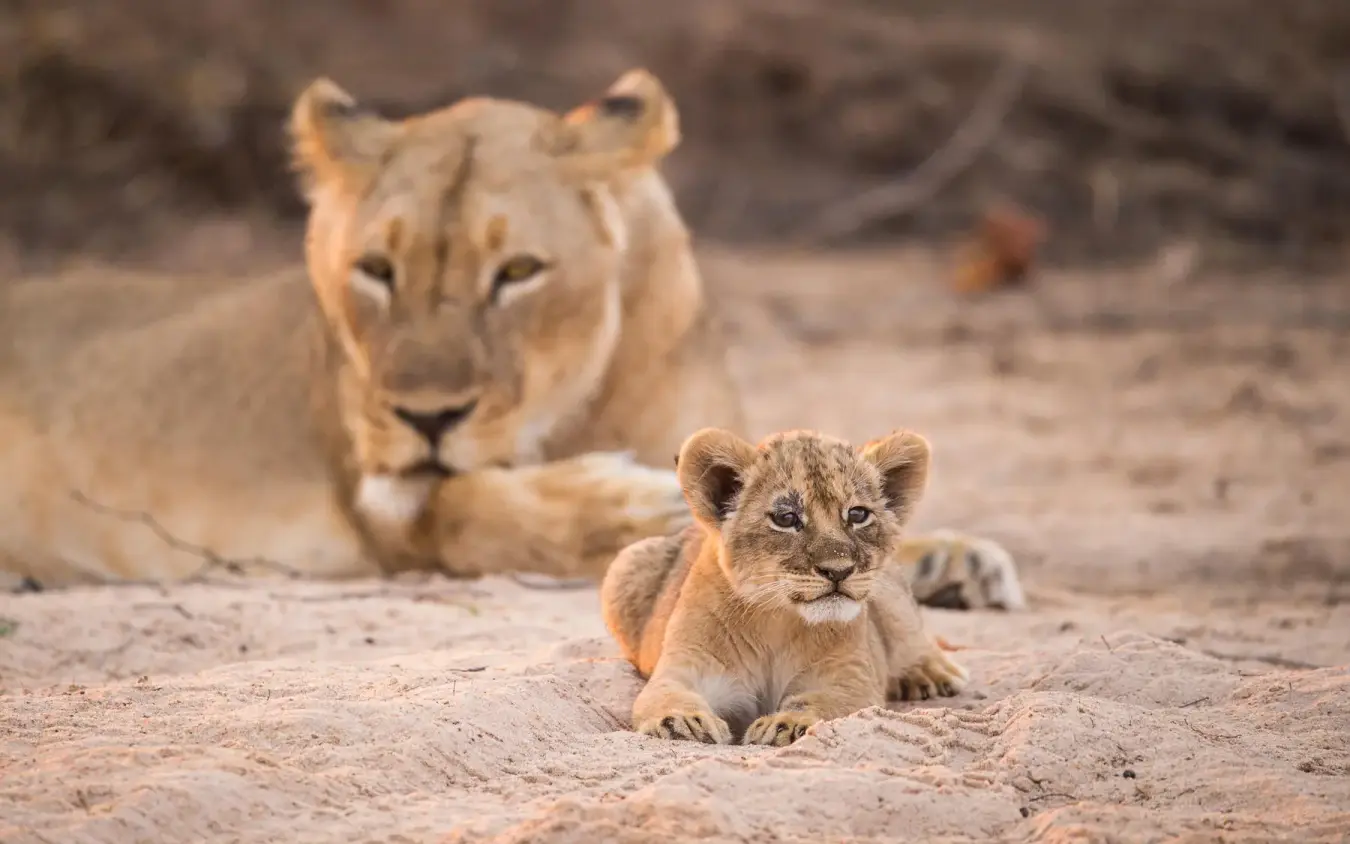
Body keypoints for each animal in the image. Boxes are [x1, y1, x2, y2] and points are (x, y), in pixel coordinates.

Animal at [0, 67, 1024, 610]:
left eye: (518, 272)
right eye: (378, 269)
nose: (424, 418)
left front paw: (949, 560)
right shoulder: (381, 506)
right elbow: (478, 512)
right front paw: (630, 501)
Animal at [602, 427, 969, 746]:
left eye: (858, 514)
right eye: (786, 518)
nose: (839, 571)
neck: (775, 622)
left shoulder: (852, 679)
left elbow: (821, 703)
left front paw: (786, 725)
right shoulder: (686, 665)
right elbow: (667, 694)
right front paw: (681, 723)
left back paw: (932, 674)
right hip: (625, 564)